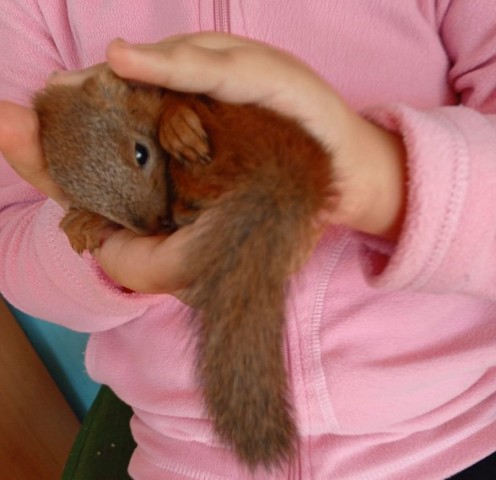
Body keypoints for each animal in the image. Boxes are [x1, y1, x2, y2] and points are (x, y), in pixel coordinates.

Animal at [32, 68, 334, 468]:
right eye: (81, 194)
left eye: (141, 152)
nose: (153, 225)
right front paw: (86, 221)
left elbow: (177, 99)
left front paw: (176, 124)